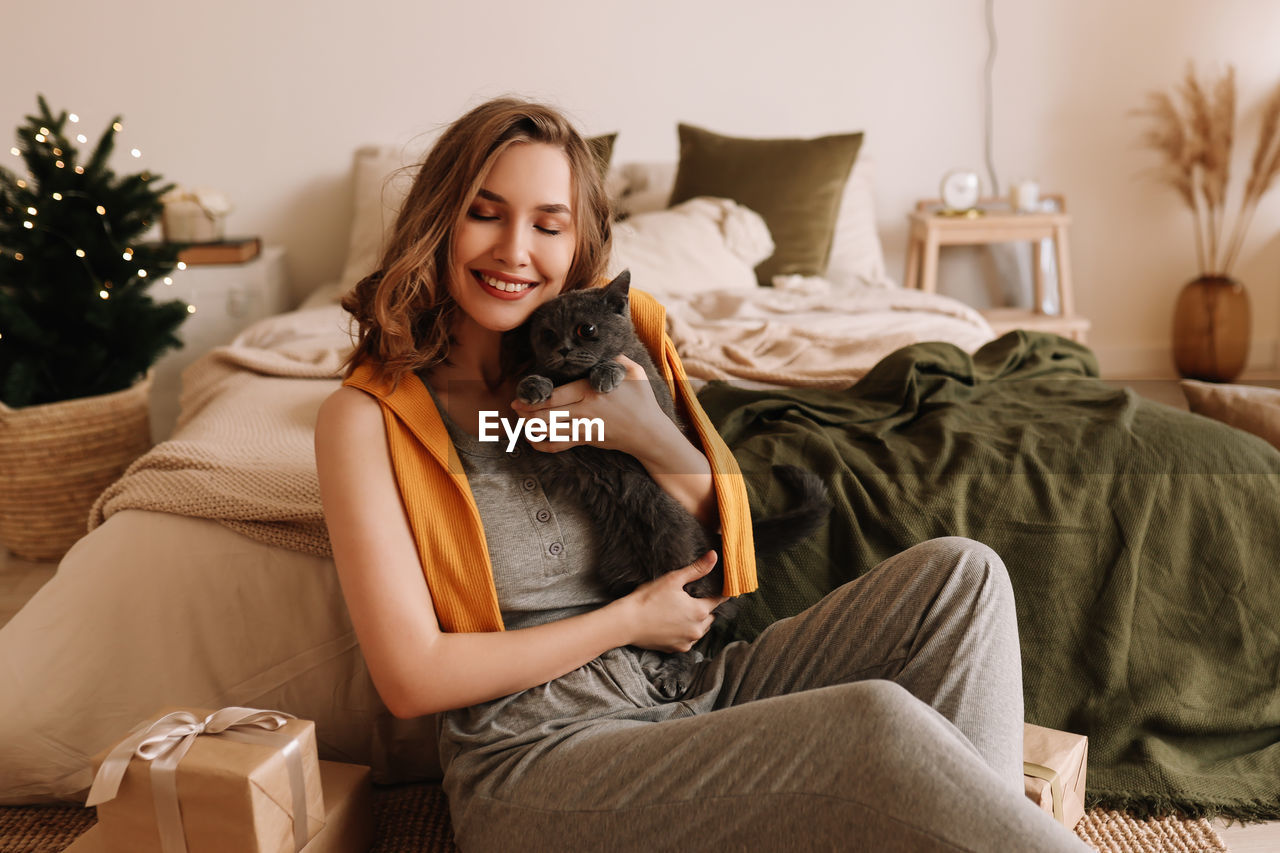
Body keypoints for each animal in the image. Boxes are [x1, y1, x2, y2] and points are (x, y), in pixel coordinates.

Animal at [509, 270, 829, 691]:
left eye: (586, 329)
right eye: (547, 334)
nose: (562, 349)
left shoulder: (657, 401)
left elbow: (621, 370)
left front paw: (607, 372)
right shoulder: (553, 457)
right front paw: (532, 384)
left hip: (682, 553)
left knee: (706, 626)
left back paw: (678, 670)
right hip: (623, 572)